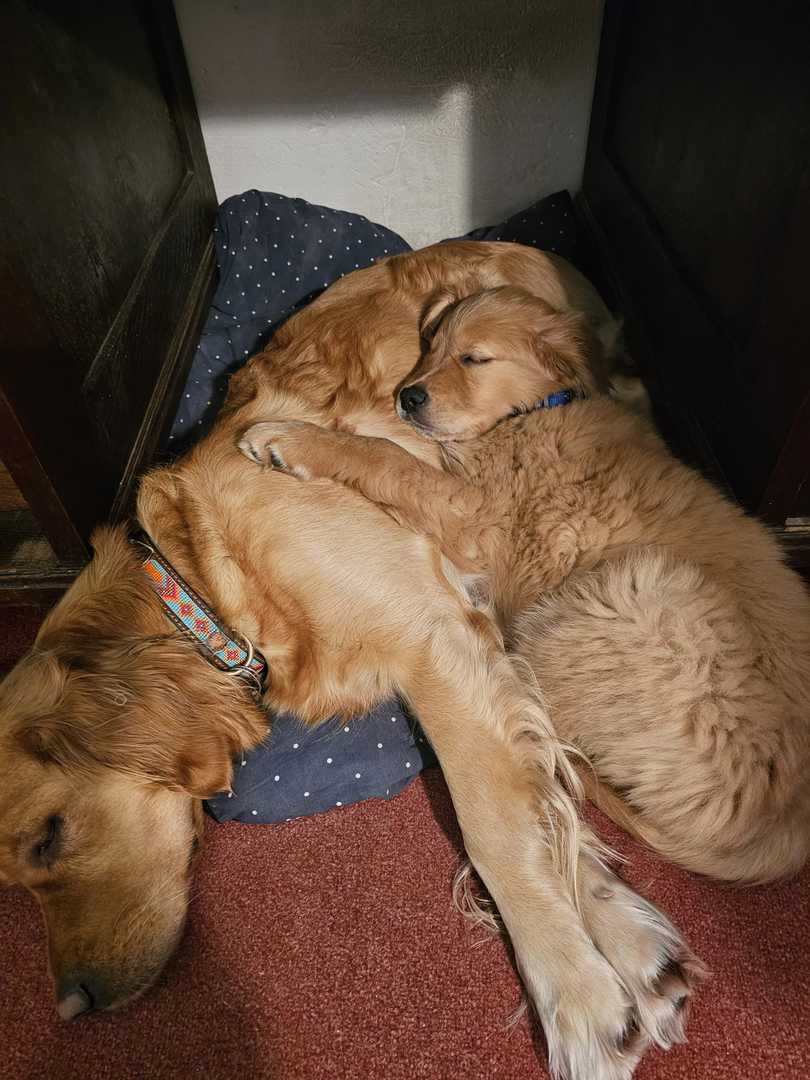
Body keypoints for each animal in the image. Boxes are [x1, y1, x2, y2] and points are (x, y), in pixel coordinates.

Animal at [0, 244, 702, 1080]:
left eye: (49, 837)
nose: (73, 1006)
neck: (199, 574)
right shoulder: (465, 651)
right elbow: (544, 808)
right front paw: (625, 947)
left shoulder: (430, 637)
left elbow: (494, 831)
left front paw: (576, 996)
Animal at [241, 282, 810, 886]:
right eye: (430, 346)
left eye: (475, 359)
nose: (408, 397)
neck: (537, 409)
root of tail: (784, 835)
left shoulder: (474, 518)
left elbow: (387, 458)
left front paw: (289, 439)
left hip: (609, 601)